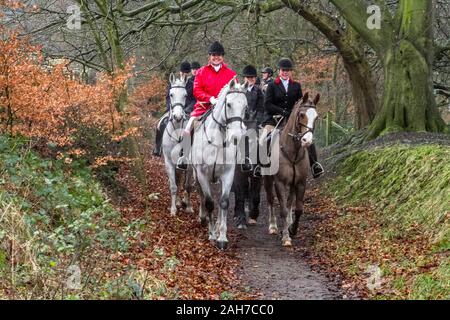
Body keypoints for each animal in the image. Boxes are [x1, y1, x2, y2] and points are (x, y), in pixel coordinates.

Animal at [189, 78, 248, 250]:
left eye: (245, 107)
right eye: (228, 104)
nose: (236, 136)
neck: (218, 141)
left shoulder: (227, 174)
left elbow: (223, 202)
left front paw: (222, 237)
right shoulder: (202, 174)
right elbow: (209, 202)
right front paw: (212, 235)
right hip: (197, 175)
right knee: (202, 194)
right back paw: (203, 218)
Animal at [264, 92, 320, 248]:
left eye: (316, 117)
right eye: (301, 115)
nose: (307, 141)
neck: (292, 150)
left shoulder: (300, 182)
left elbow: (298, 208)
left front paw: (292, 229)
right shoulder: (280, 183)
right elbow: (282, 209)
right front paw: (286, 237)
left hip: (293, 184)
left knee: (290, 203)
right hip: (267, 180)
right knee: (270, 199)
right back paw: (273, 226)